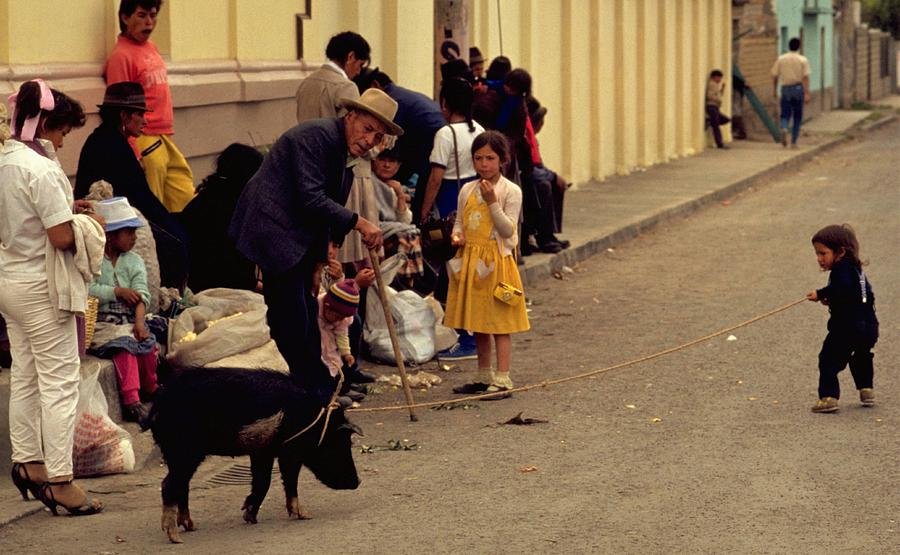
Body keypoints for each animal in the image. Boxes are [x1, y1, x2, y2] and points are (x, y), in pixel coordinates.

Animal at [146, 368, 360, 544]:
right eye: (342, 444)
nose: (357, 482)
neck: (311, 419)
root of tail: (157, 407)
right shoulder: (287, 451)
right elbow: (283, 480)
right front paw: (306, 515)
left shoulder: (262, 452)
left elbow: (263, 480)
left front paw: (251, 517)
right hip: (185, 451)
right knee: (169, 485)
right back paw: (175, 537)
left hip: (179, 455)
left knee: (182, 486)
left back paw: (191, 526)